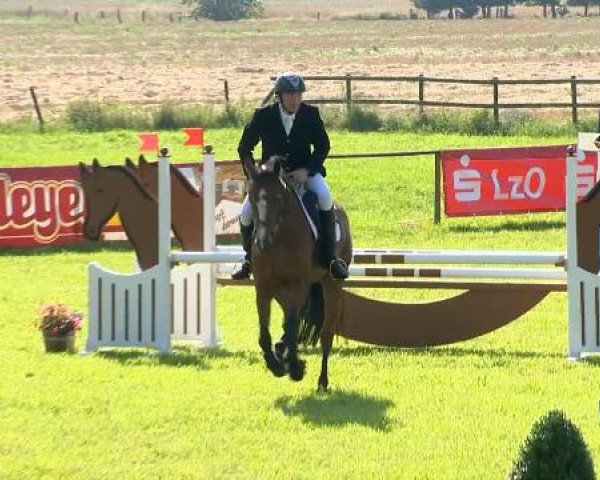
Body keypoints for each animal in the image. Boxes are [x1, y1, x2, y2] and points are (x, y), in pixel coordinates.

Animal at [240, 156, 352, 392]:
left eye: (278, 198)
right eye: (251, 197)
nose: (263, 243)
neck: (279, 237)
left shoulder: (299, 283)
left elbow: (292, 325)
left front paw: (295, 368)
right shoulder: (264, 287)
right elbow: (265, 331)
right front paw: (276, 364)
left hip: (331, 285)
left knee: (325, 334)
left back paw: (322, 382)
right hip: (282, 290)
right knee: (292, 318)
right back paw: (281, 348)